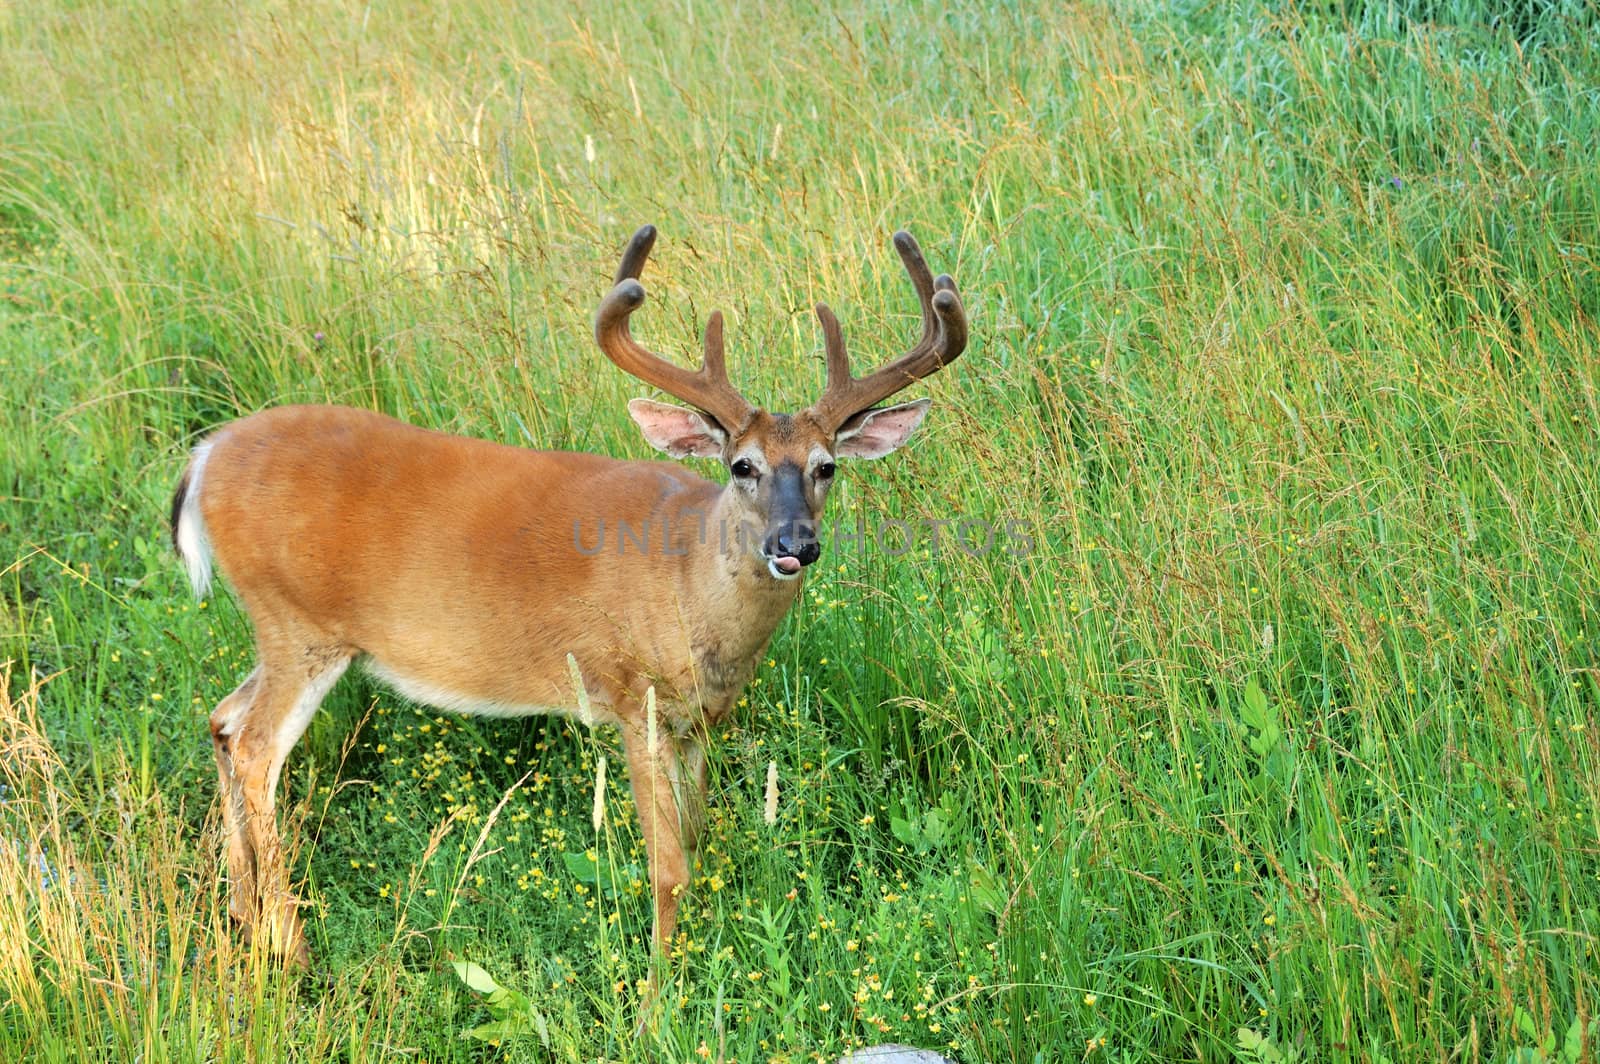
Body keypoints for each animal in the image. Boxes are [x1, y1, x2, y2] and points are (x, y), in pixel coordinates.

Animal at [173, 224, 966, 979]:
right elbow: (671, 868)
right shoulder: (634, 700)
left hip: (282, 630)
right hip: (298, 623)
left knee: (222, 719)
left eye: (827, 467)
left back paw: (242, 915)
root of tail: (204, 457)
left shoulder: (698, 722)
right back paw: (291, 948)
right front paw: (657, 996)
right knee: (255, 750)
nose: (794, 544)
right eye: (742, 466)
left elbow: (702, 840)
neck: (686, 582)